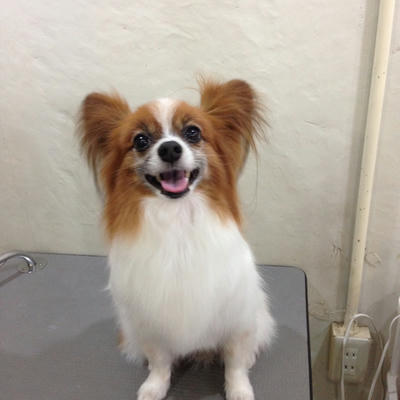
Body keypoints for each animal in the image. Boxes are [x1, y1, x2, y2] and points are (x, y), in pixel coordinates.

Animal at [78, 78, 275, 400]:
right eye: (141, 140)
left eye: (193, 132)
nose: (170, 148)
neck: (178, 218)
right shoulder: (152, 320)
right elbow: (160, 361)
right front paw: (154, 387)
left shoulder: (237, 317)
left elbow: (235, 362)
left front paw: (239, 390)